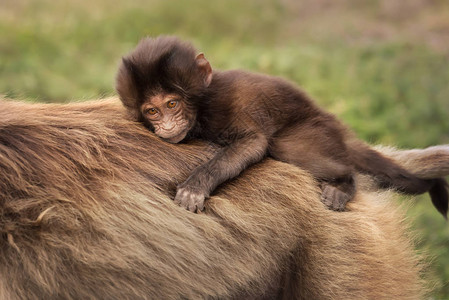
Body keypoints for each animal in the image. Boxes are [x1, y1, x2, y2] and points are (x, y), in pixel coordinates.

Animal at [114, 36, 444, 216]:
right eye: (152, 111)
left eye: (172, 104)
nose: (167, 125)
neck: (202, 105)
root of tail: (335, 127)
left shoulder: (222, 108)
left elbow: (253, 143)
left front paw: (196, 186)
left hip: (316, 131)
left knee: (287, 146)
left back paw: (344, 183)